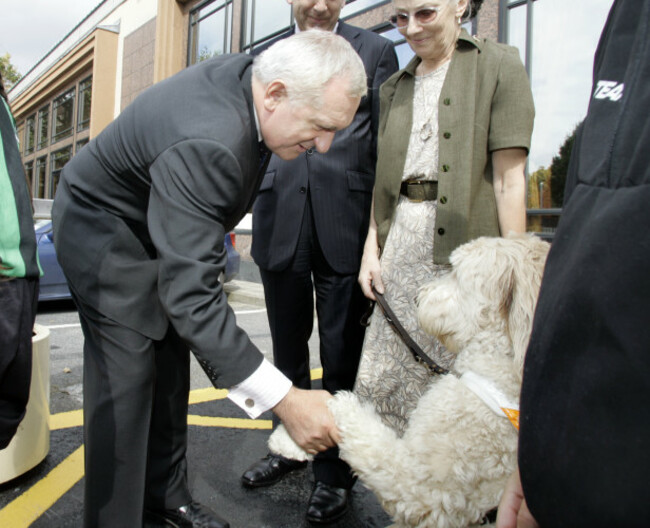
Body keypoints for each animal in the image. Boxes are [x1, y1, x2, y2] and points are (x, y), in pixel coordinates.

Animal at [268, 236, 548, 528]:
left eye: (458, 276)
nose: (417, 298)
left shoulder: (419, 486)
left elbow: (350, 417)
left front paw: (293, 433)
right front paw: (291, 441)